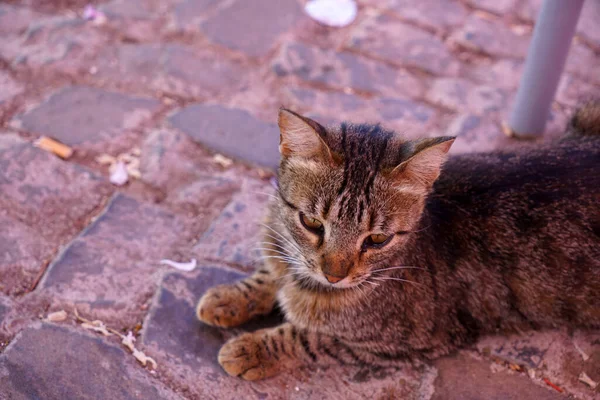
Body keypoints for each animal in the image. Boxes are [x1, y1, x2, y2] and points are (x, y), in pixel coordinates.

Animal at [197, 103, 600, 382]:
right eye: (312, 222)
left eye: (377, 239)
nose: (334, 276)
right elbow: (270, 273)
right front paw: (230, 297)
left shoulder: (396, 343)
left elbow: (309, 338)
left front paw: (251, 348)